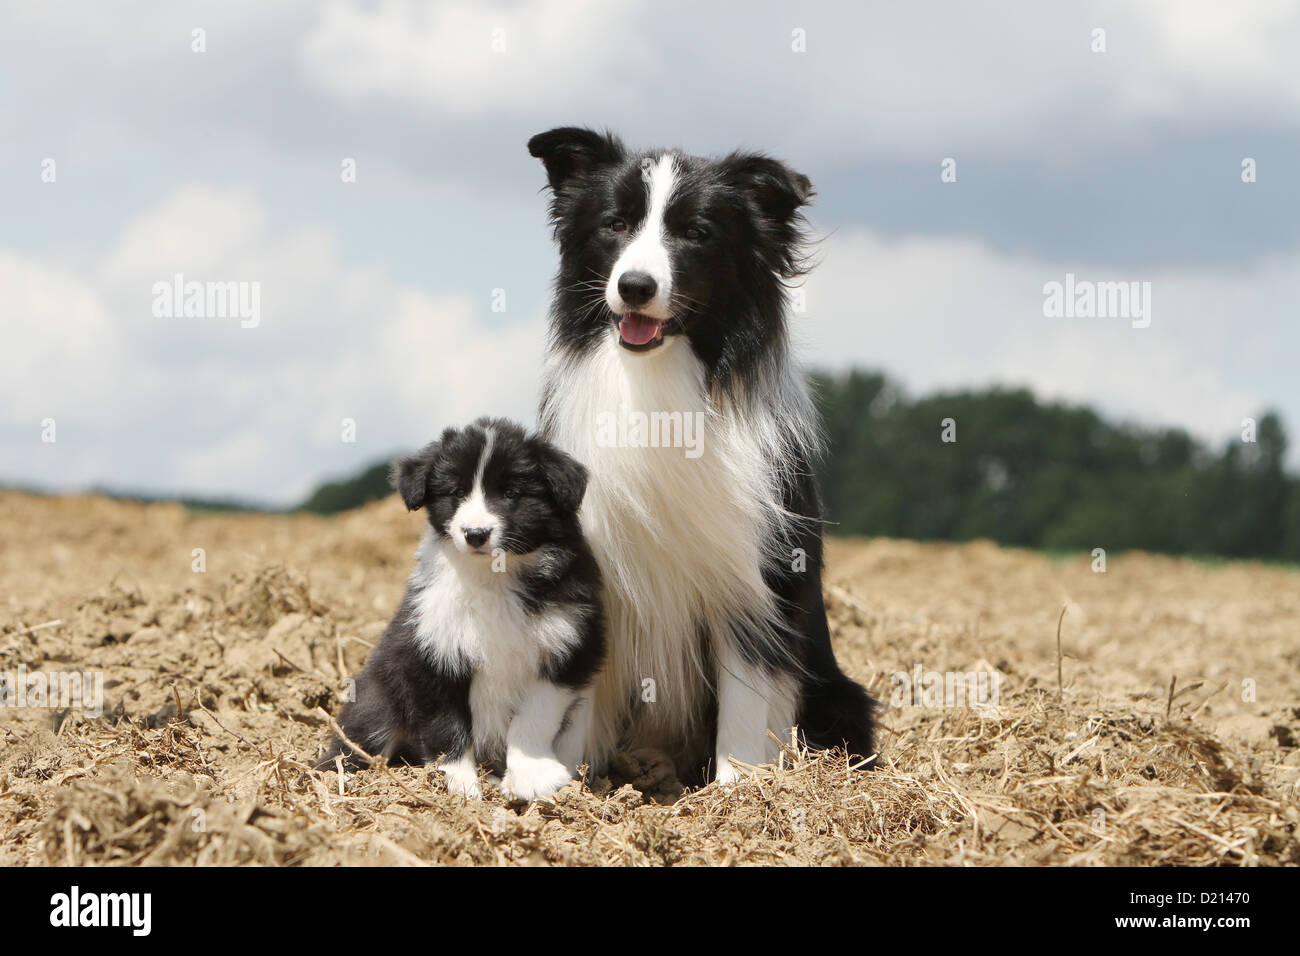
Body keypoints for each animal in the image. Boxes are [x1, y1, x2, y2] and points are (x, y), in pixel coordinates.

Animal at [325, 418, 608, 801]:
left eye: (511, 493)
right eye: (456, 492)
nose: (476, 533)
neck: (493, 575)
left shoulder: (570, 645)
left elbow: (535, 715)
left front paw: (532, 775)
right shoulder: (431, 652)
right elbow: (446, 726)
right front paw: (456, 784)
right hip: (377, 700)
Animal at [533, 127, 878, 785]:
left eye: (696, 233)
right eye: (615, 224)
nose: (635, 286)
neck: (658, 384)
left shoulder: (749, 580)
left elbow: (744, 704)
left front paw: (738, 791)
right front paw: (564, 782)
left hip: (840, 694)